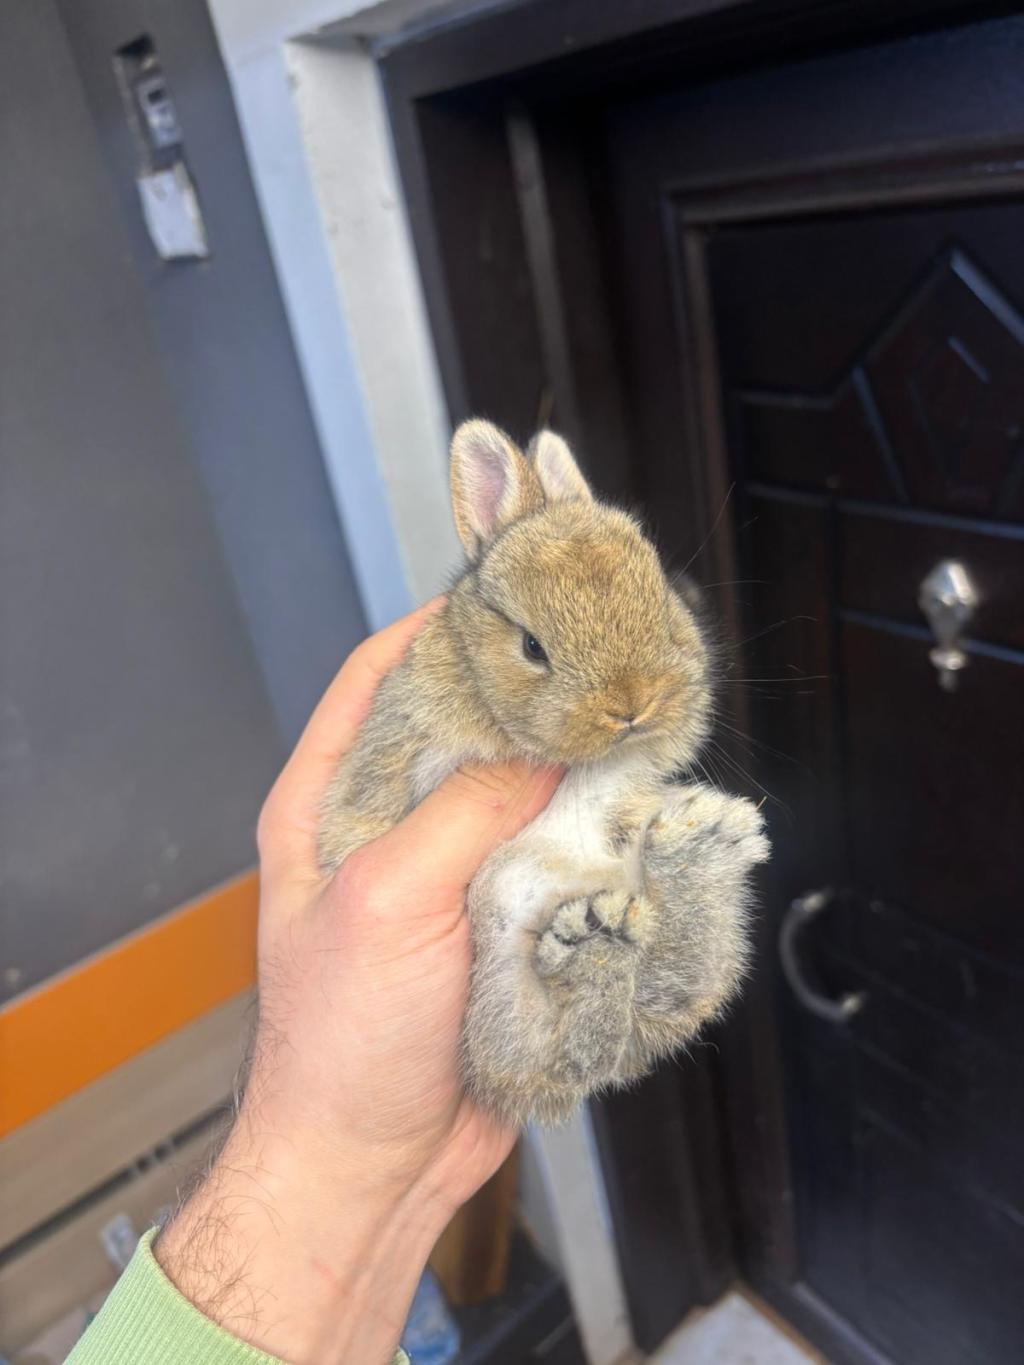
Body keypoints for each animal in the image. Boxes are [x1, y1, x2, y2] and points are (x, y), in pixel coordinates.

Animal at [319, 419, 770, 1125]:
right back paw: (597, 944)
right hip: (495, 971)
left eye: (661, 594)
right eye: (532, 647)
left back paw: (700, 848)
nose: (632, 705)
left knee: (659, 991)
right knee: (577, 1050)